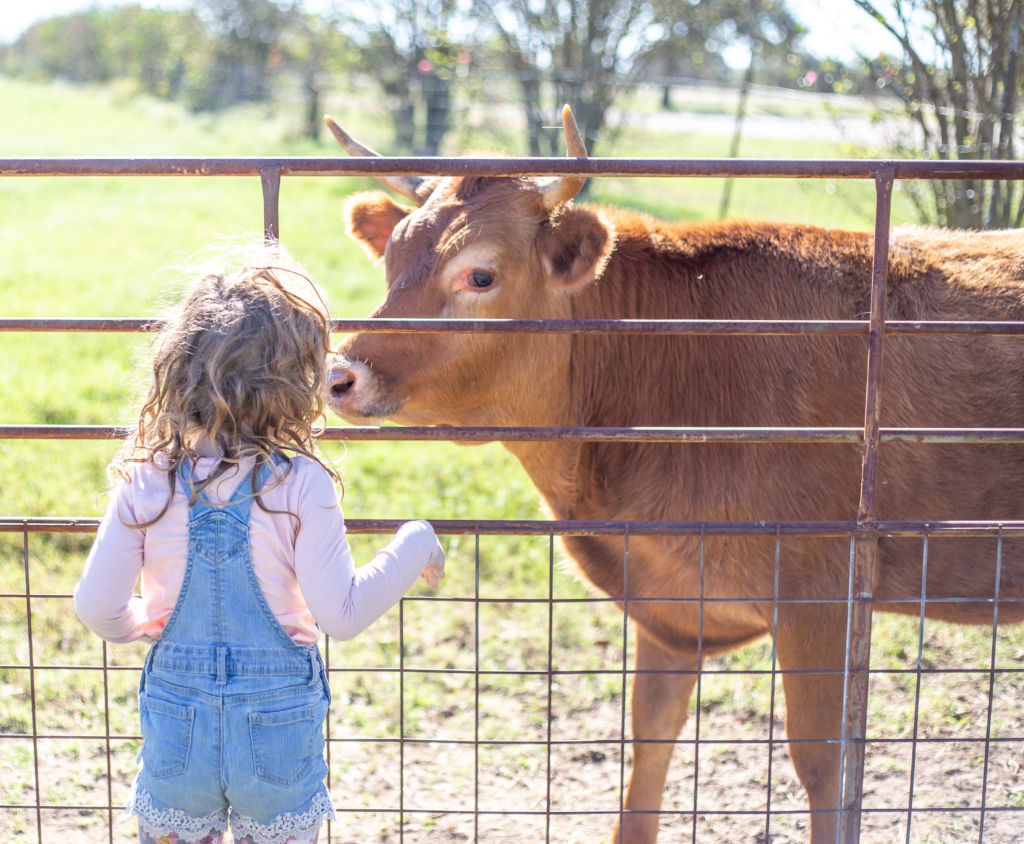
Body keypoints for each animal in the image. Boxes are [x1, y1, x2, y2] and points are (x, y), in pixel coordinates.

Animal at [321, 107, 1024, 844]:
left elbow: (825, 767)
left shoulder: (823, 588)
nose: (340, 375)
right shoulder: (667, 598)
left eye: (479, 276)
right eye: (392, 260)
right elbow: (650, 737)